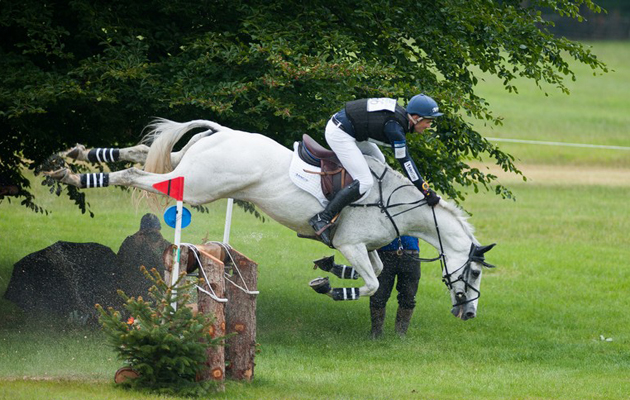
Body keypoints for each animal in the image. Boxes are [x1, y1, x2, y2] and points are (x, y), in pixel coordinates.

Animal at [47, 118, 496, 318]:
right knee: (137, 175)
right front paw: (330, 287)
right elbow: (370, 282)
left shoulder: (361, 247)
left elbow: (377, 269)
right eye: (474, 274)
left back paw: (80, 154)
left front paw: (328, 269)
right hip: (197, 186)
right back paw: (74, 174)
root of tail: (221, 132)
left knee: (144, 154)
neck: (395, 202)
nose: (470, 313)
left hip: (188, 167)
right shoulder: (352, 242)